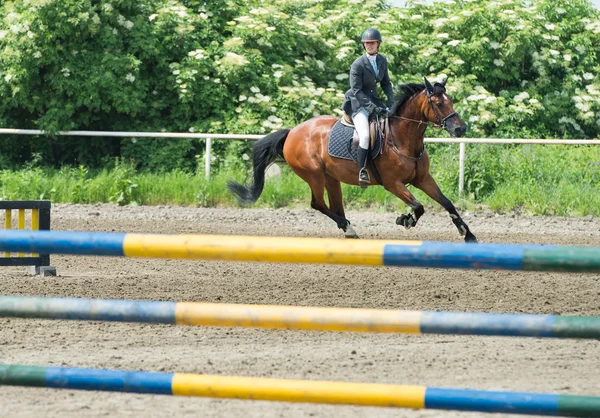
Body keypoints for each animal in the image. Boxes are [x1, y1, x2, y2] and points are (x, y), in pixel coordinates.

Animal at [230, 76, 478, 243]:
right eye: (439, 103)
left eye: (450, 100)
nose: (460, 129)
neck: (402, 139)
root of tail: (292, 132)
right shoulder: (393, 184)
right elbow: (418, 207)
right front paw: (405, 220)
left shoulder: (423, 179)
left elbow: (446, 202)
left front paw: (467, 234)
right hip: (314, 175)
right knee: (318, 204)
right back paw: (348, 228)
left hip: (331, 177)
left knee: (335, 206)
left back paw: (348, 229)